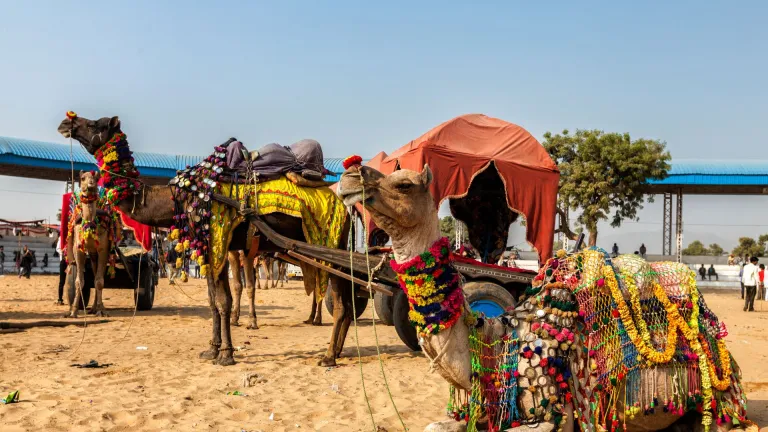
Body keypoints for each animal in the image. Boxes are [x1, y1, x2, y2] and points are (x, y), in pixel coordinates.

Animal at [66, 170, 121, 318]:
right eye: (82, 178)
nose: (90, 185)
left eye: (96, 178)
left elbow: (99, 281)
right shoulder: (78, 249)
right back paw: (91, 308)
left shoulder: (103, 249)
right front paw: (73, 311)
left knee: (97, 275)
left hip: (97, 253)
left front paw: (102, 310)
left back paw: (96, 308)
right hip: (91, 253)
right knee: (94, 270)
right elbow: (79, 281)